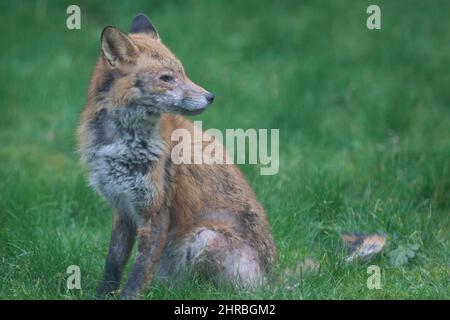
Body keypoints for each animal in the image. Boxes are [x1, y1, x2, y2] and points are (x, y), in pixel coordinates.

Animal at [76, 13, 274, 298]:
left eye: (183, 72)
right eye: (166, 78)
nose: (210, 96)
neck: (120, 143)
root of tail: (274, 280)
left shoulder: (156, 210)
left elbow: (138, 271)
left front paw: (128, 295)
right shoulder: (122, 209)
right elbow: (113, 265)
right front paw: (103, 295)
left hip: (205, 238)